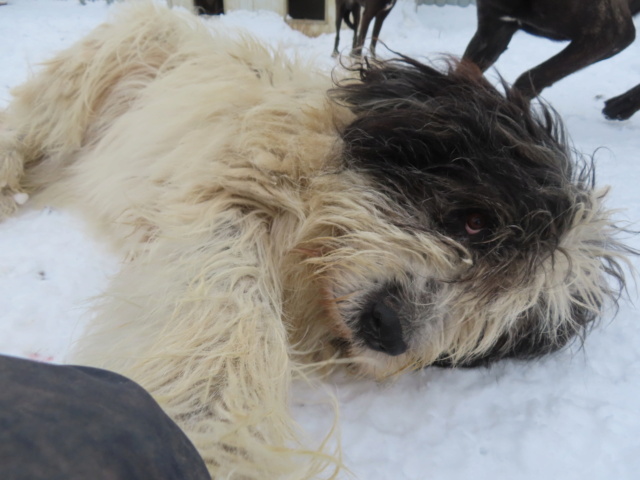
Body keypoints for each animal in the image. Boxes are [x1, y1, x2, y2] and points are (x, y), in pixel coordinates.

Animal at [0, 1, 632, 478]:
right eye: (476, 223)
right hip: (108, 61)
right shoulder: (228, 201)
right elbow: (227, 311)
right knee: (33, 121)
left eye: (510, 321)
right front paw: (214, 439)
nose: (389, 330)